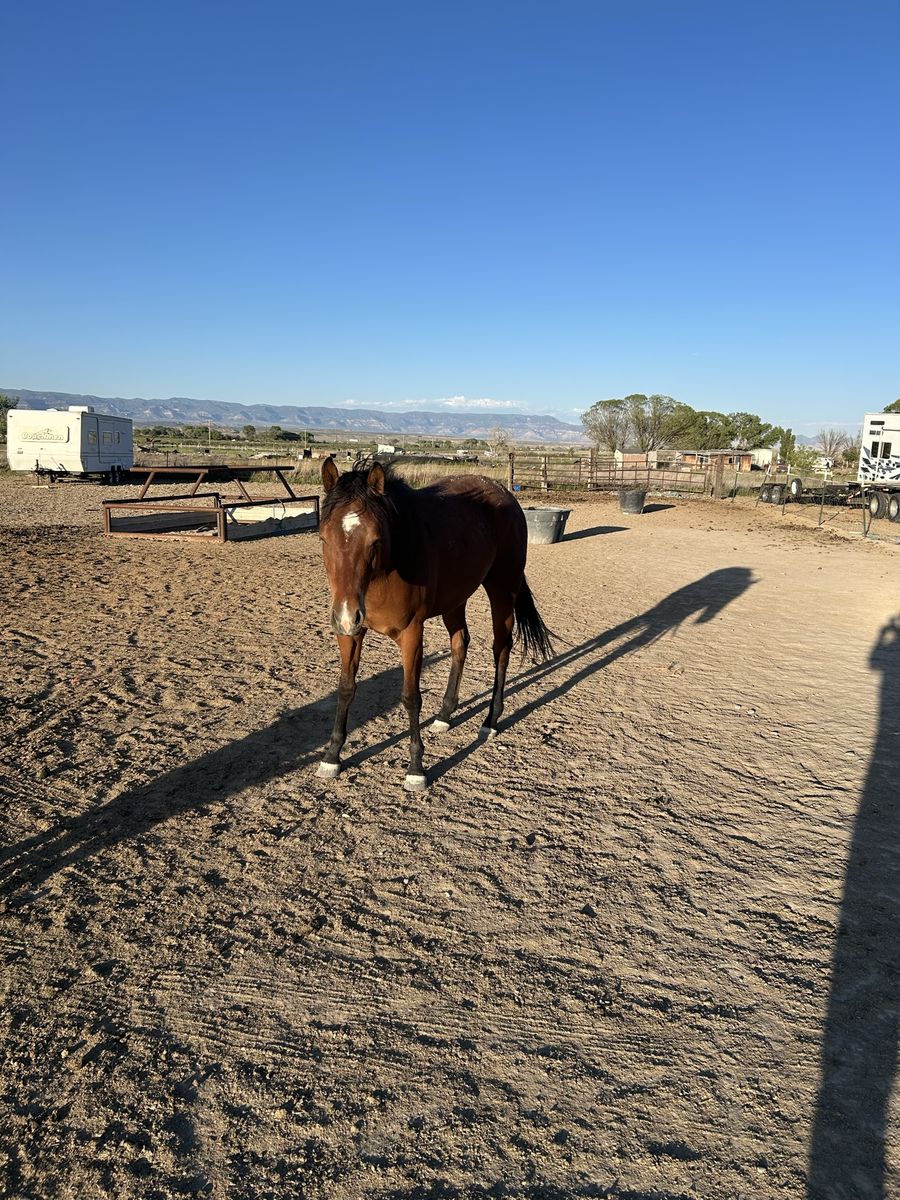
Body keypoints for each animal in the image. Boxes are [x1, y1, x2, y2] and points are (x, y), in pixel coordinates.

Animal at [316, 456, 554, 791]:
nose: (347, 614)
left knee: (501, 649)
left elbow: (410, 698)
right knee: (460, 644)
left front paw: (416, 769)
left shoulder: (411, 633)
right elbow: (346, 688)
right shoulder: (351, 634)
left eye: (374, 541)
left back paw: (490, 721)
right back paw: (444, 714)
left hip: (502, 589)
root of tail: (503, 492)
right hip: (455, 599)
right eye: (324, 538)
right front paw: (332, 756)